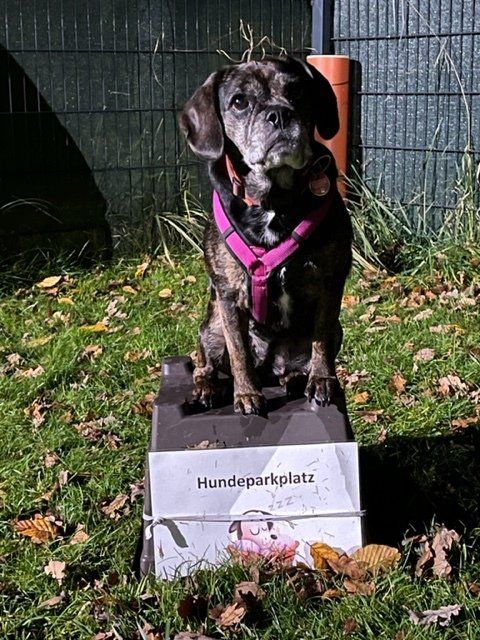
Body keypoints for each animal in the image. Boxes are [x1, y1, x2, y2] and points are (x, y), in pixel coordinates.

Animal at [179, 56, 352, 415]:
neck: (275, 199)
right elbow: (239, 352)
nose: (280, 114)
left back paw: (298, 378)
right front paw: (246, 395)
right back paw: (207, 389)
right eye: (239, 102)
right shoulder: (228, 296)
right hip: (210, 328)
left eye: (297, 91)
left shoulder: (331, 281)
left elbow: (322, 338)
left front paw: (323, 381)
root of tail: (270, 367)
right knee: (206, 365)